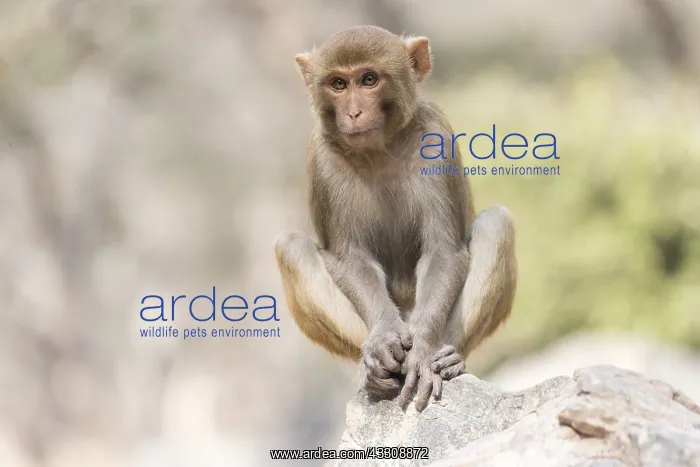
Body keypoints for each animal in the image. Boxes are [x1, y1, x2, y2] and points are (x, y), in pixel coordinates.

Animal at [275, 25, 517, 412]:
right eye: (338, 84)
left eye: (369, 79)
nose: (354, 112)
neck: (378, 151)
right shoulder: (322, 159)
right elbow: (349, 258)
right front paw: (384, 337)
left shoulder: (437, 140)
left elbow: (443, 252)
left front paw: (422, 353)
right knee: (292, 249)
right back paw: (370, 369)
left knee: (497, 224)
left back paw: (449, 358)